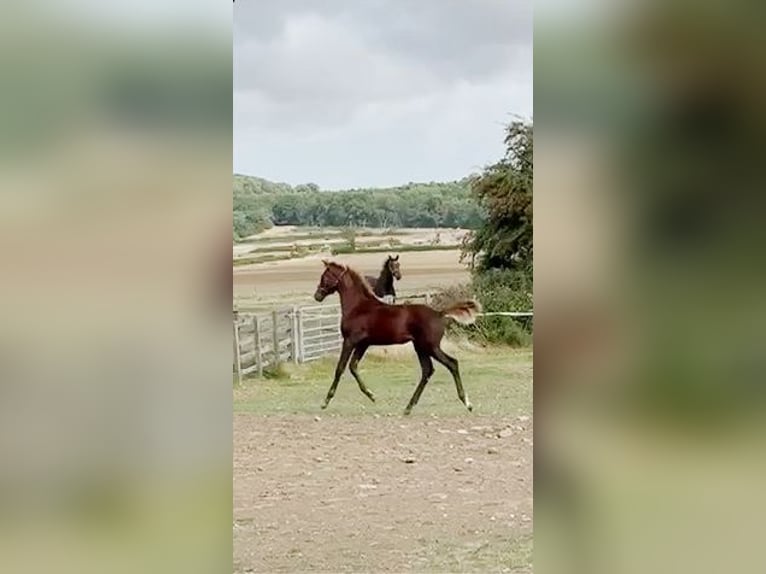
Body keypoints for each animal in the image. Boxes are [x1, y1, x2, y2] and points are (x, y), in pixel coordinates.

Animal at [313, 259, 481, 414]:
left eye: (324, 276)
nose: (317, 296)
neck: (358, 307)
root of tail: (439, 314)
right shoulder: (362, 344)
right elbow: (353, 367)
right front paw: (371, 395)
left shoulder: (350, 341)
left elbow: (340, 368)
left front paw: (325, 401)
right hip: (420, 347)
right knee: (427, 370)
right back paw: (408, 407)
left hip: (431, 346)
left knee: (452, 364)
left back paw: (467, 403)